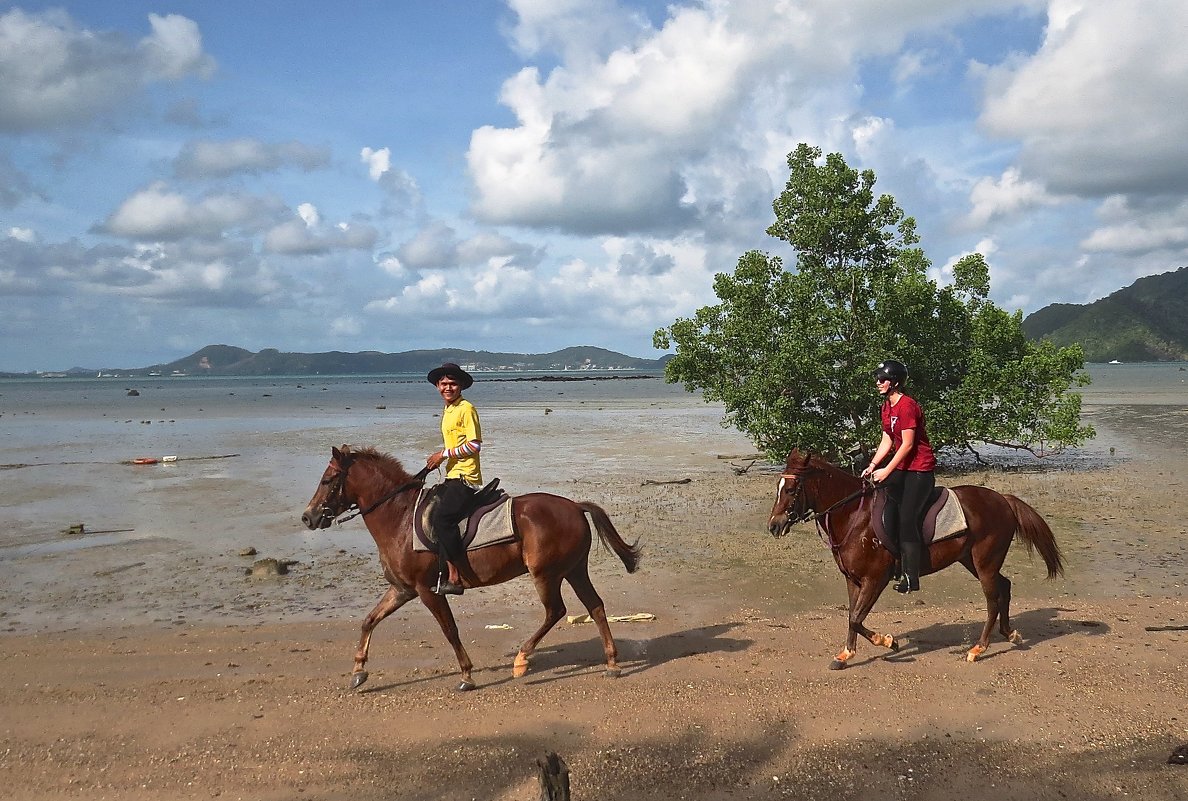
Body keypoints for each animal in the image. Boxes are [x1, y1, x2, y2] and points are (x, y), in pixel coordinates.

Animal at [301, 442, 646, 684]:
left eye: (328, 479)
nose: (308, 517)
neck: (399, 519)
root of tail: (574, 506)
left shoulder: (426, 590)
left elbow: (450, 629)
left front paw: (466, 674)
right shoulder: (402, 589)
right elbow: (369, 620)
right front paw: (359, 670)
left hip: (546, 573)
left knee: (556, 611)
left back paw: (522, 659)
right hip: (574, 570)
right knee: (595, 606)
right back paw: (612, 663)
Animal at [769, 449, 1069, 665]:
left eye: (792, 490)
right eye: (779, 488)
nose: (774, 526)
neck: (854, 514)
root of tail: (1003, 500)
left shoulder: (875, 579)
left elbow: (856, 618)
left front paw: (887, 641)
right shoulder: (853, 580)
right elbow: (852, 616)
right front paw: (846, 654)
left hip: (984, 564)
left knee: (993, 600)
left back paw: (978, 649)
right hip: (973, 561)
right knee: (1004, 587)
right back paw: (1010, 633)